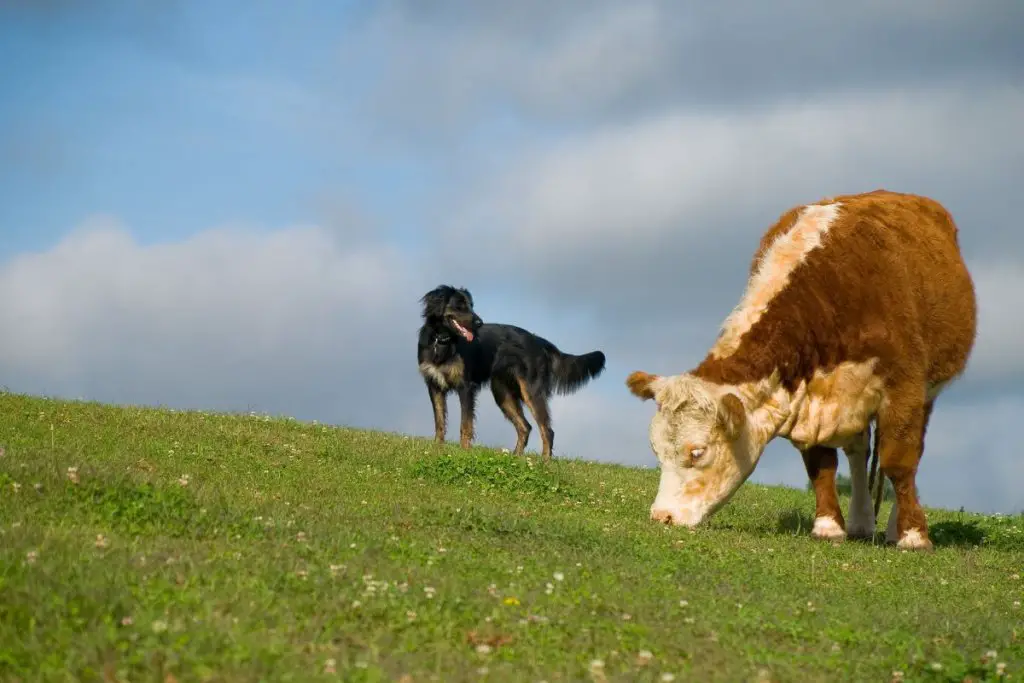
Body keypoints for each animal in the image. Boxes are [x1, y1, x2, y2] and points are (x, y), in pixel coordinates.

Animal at [415, 282, 606, 458]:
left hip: (531, 391)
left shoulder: (466, 387)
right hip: (503, 393)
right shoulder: (434, 386)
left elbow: (466, 424)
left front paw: (464, 452)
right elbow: (439, 421)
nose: (479, 323)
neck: (441, 341)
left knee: (547, 430)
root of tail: (538, 340)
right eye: (459, 305)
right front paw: (437, 448)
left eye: (471, 305)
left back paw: (544, 462)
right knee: (525, 427)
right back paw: (516, 457)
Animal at [622, 189, 974, 552]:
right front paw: (828, 527)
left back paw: (893, 528)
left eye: (697, 452)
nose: (662, 516)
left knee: (910, 453)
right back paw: (861, 522)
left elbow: (899, 461)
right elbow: (821, 465)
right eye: (656, 451)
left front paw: (913, 536)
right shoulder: (812, 400)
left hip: (927, 390)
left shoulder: (903, 386)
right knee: (858, 452)